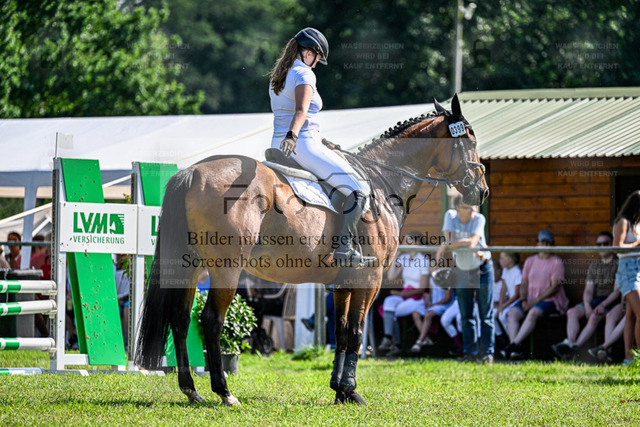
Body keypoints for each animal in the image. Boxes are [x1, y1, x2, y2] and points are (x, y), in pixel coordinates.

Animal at [135, 94, 489, 406]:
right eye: (471, 141)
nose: (481, 190)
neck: (382, 182)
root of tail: (192, 171)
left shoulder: (344, 282)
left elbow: (342, 331)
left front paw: (339, 391)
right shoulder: (370, 279)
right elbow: (356, 332)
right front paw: (352, 391)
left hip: (189, 266)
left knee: (180, 320)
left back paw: (191, 391)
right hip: (226, 268)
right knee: (210, 321)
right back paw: (224, 392)